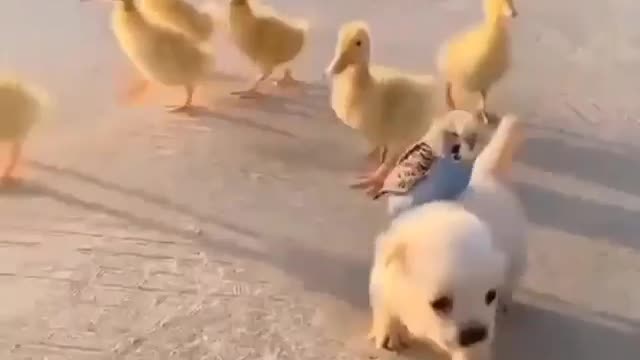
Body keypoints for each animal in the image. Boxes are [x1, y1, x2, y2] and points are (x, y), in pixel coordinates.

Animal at [368, 114, 528, 358]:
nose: (475, 333)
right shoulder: (381, 278)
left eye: (490, 295)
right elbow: (384, 307)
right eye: (440, 303)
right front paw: (389, 335)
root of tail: (487, 176)